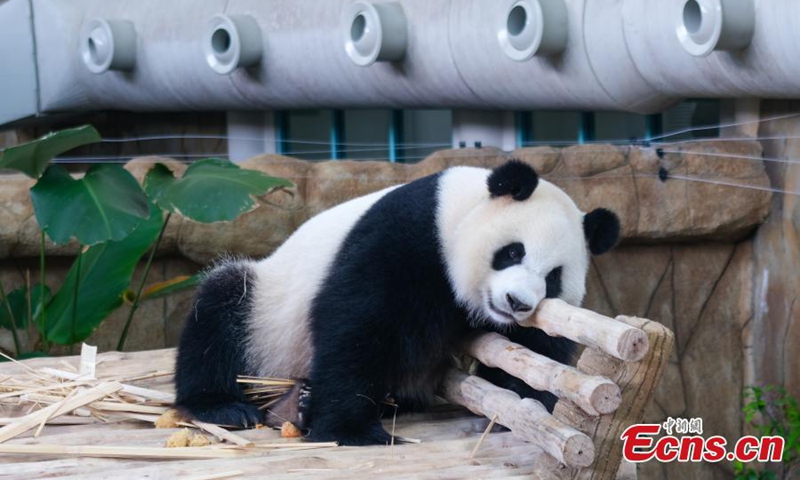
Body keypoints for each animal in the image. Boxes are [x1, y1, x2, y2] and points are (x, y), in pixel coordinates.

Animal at [174, 160, 620, 446]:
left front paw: (523, 405)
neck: (457, 211)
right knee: (220, 311)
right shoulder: (410, 235)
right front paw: (352, 431)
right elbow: (356, 324)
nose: (516, 302)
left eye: (553, 276)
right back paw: (227, 408)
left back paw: (298, 406)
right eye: (512, 252)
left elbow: (537, 349)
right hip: (266, 310)